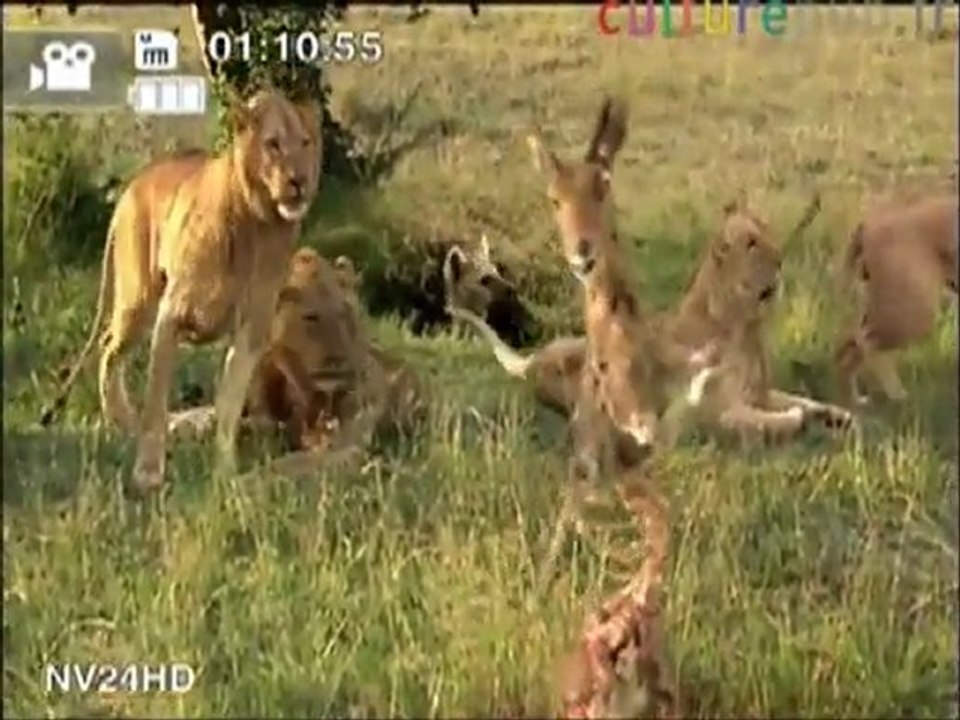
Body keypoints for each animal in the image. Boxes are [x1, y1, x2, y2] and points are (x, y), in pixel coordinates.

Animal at [38, 89, 322, 492]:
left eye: (306, 142)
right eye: (273, 144)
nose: (300, 180)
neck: (258, 224)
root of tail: (133, 185)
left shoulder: (251, 332)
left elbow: (229, 404)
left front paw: (224, 473)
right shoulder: (171, 317)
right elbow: (157, 403)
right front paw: (147, 472)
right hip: (138, 301)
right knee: (109, 347)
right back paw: (121, 420)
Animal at [835, 192, 958, 404]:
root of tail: (867, 224)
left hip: (883, 309)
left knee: (850, 347)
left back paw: (853, 400)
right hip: (914, 313)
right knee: (866, 345)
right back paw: (895, 394)